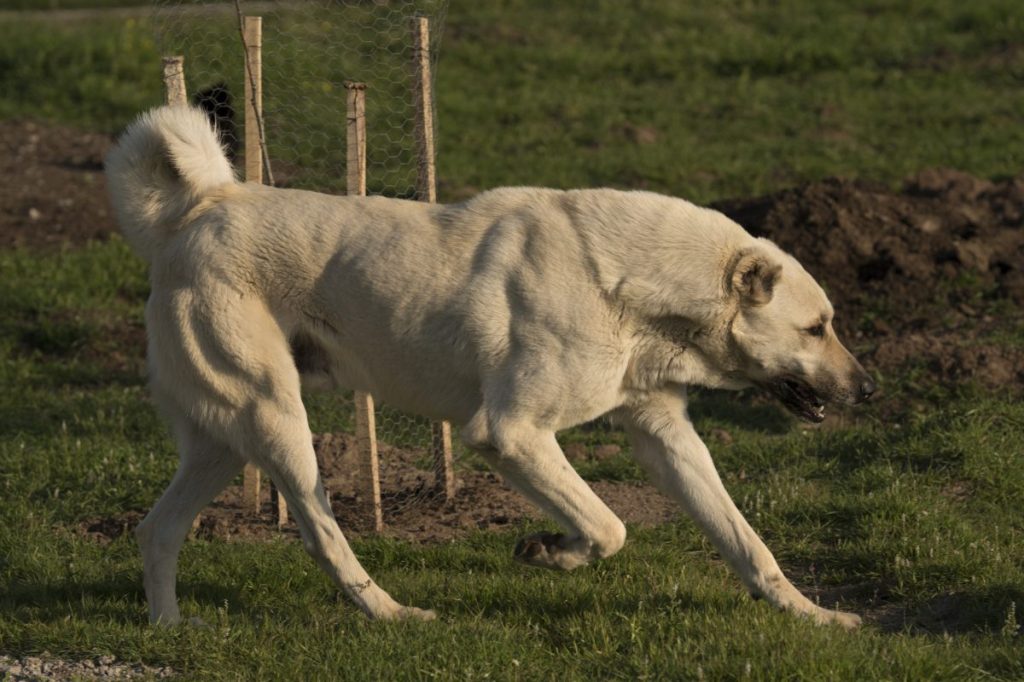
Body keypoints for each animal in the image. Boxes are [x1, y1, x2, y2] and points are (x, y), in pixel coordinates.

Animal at [103, 104, 876, 626]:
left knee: (157, 530)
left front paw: (812, 615)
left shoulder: (666, 434)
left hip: (224, 439)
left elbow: (745, 541)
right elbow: (609, 527)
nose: (869, 388)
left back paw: (170, 628)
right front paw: (551, 551)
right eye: (817, 328)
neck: (628, 286)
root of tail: (197, 212)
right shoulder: (511, 434)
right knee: (320, 532)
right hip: (276, 421)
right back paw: (392, 614)